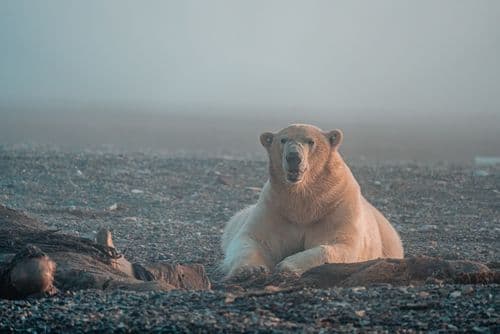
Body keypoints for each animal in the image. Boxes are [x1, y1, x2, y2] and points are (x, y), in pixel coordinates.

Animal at [221, 123, 404, 280]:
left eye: (310, 141)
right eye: (283, 139)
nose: (293, 157)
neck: (305, 203)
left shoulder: (338, 206)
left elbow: (341, 245)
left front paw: (286, 266)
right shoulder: (274, 207)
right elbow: (254, 239)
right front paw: (249, 270)